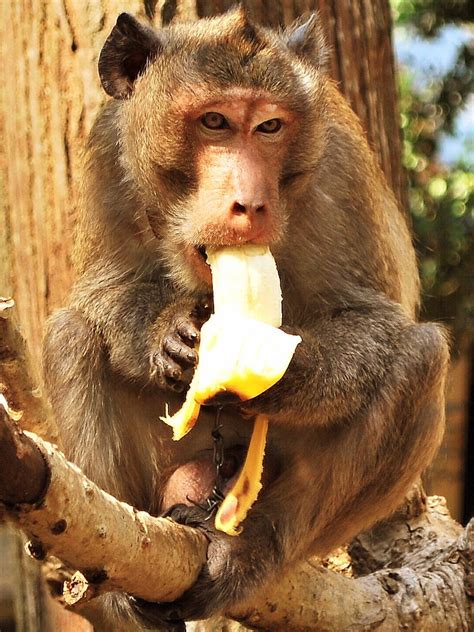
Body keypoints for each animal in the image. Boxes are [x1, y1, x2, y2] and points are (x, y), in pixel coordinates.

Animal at [42, 6, 450, 632]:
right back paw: (118, 587)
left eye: (269, 127)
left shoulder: (336, 168)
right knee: (71, 336)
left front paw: (285, 371)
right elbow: (102, 289)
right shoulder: (110, 152)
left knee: (420, 358)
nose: (250, 202)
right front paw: (165, 335)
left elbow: (373, 316)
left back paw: (246, 551)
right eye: (215, 121)